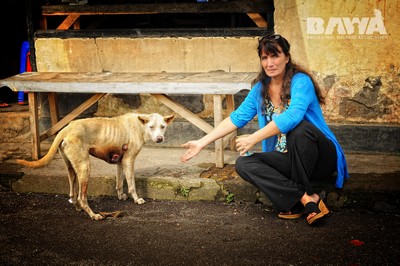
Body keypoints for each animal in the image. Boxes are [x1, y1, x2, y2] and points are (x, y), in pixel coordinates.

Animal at [16, 112, 174, 220]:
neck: (140, 125)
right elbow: (131, 185)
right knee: (82, 197)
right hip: (85, 168)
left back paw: (78, 208)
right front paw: (137, 199)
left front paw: (120, 196)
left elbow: (119, 182)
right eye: (151, 127)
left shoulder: (120, 161)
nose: (160, 138)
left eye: (163, 127)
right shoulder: (129, 160)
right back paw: (93, 215)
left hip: (72, 169)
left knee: (72, 194)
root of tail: (66, 129)